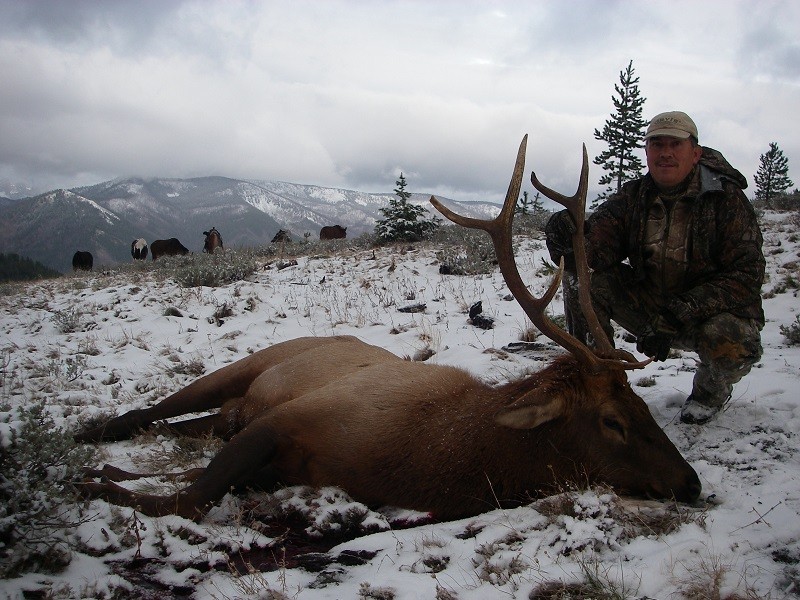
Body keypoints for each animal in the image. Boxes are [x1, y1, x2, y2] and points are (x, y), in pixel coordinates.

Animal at [75, 135, 702, 521]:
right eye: (613, 420)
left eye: (642, 407)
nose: (691, 481)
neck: (421, 458)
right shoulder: (287, 420)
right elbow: (184, 500)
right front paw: (92, 484)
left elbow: (190, 485)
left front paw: (109, 476)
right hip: (246, 367)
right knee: (147, 411)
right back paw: (89, 433)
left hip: (230, 409)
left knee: (185, 425)